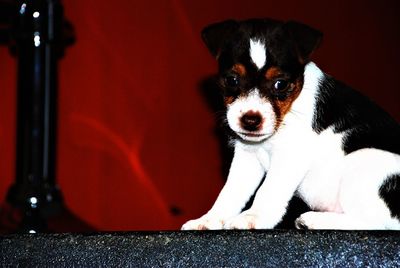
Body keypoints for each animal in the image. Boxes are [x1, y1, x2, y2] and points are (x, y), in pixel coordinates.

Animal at [182, 18, 400, 230]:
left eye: (280, 84)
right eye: (232, 80)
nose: (251, 120)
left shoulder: (290, 156)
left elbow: (268, 190)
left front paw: (254, 217)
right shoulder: (247, 156)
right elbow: (229, 193)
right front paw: (209, 220)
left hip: (365, 162)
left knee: (377, 223)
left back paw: (314, 220)